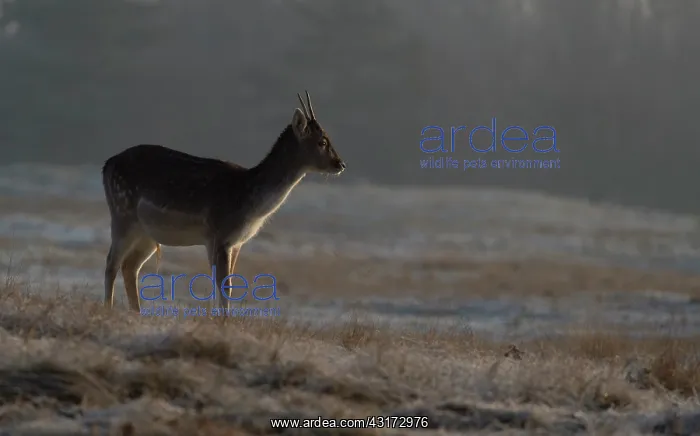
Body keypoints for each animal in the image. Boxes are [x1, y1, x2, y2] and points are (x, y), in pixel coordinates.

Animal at [102, 91, 345, 312]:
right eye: (322, 141)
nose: (340, 164)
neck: (249, 201)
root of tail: (107, 165)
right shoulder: (220, 235)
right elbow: (224, 286)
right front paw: (224, 322)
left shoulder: (234, 242)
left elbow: (224, 284)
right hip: (122, 214)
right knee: (112, 262)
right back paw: (108, 308)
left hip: (147, 233)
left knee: (130, 266)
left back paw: (136, 312)